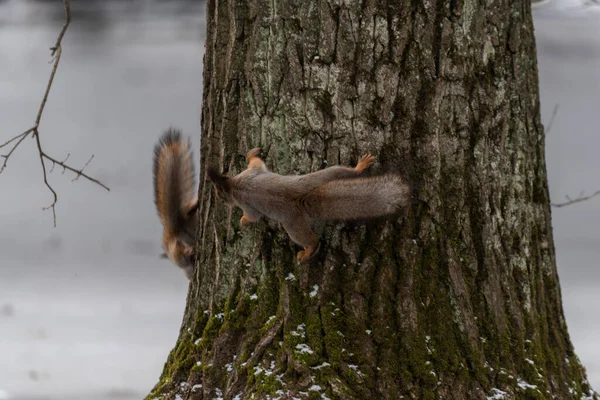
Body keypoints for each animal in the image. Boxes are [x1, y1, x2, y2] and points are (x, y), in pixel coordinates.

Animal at [209, 148, 410, 260]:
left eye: (221, 197)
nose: (222, 202)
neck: (233, 184)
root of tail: (302, 199)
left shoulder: (246, 199)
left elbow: (253, 216)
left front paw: (243, 221)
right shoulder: (252, 173)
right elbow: (258, 164)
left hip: (293, 227)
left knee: (310, 241)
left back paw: (308, 252)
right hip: (324, 176)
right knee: (345, 172)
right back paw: (360, 167)